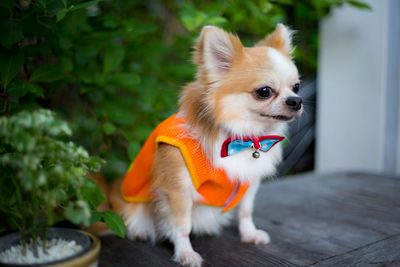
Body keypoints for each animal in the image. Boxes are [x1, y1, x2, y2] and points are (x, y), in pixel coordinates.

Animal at [99, 23, 300, 267]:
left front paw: (249, 234)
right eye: (264, 92)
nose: (296, 101)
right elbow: (182, 226)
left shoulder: (248, 181)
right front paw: (186, 253)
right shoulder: (178, 189)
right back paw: (140, 231)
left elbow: (245, 211)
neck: (242, 137)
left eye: (296, 87)